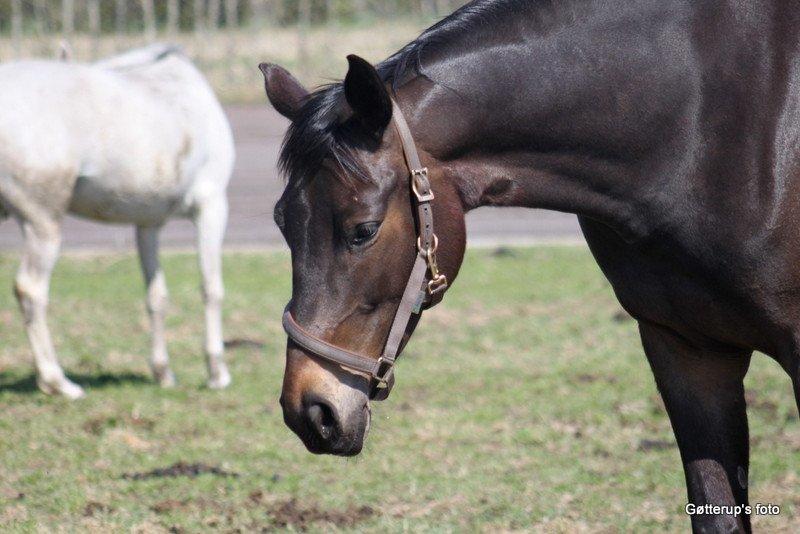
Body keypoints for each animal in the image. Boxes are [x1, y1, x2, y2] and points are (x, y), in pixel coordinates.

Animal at [0, 45, 236, 398]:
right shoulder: (211, 206)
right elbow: (212, 289)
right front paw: (217, 372)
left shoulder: (148, 223)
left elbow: (157, 297)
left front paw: (163, 372)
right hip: (43, 222)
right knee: (31, 289)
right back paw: (57, 381)